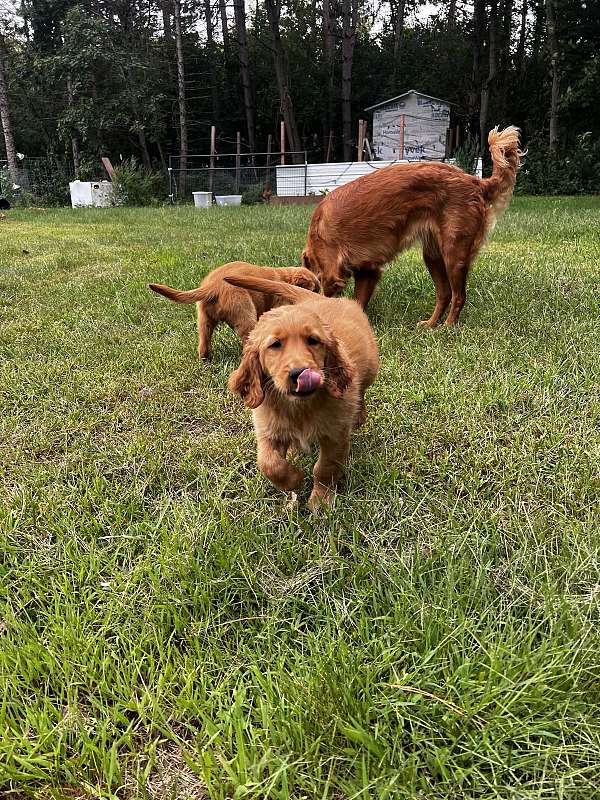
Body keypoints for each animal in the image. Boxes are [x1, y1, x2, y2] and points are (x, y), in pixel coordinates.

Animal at [148, 262, 322, 360]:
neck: (284, 278)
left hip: (204, 318)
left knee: (203, 342)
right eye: (315, 290)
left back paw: (206, 360)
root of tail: (213, 285)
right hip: (245, 314)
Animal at [225, 276, 380, 506]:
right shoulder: (268, 430)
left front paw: (320, 502)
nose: (300, 373)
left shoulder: (335, 433)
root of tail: (322, 298)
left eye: (313, 341)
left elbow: (325, 468)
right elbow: (269, 464)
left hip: (370, 368)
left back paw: (359, 416)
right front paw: (294, 480)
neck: (298, 407)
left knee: (361, 392)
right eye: (275, 344)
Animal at [302, 126, 524, 324]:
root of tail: (476, 182)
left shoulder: (332, 275)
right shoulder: (368, 271)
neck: (316, 231)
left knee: (459, 296)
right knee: (445, 294)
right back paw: (431, 324)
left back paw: (447, 326)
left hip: (454, 254)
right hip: (433, 256)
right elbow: (357, 301)